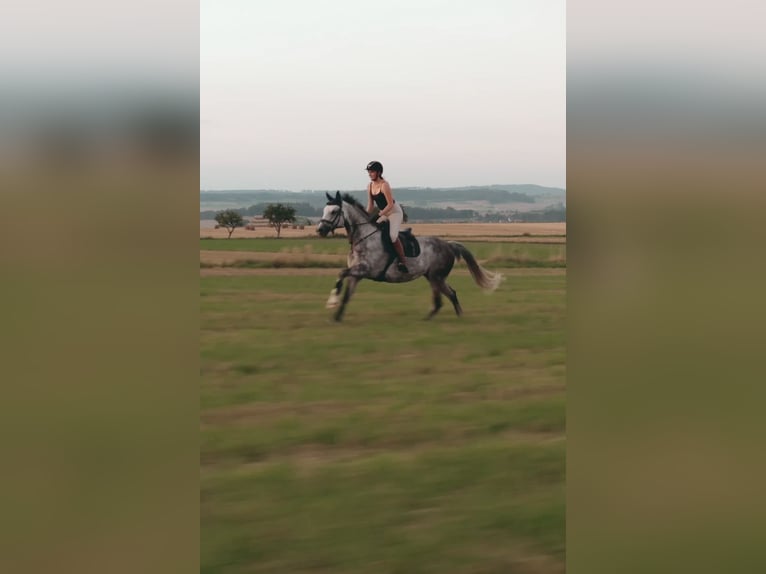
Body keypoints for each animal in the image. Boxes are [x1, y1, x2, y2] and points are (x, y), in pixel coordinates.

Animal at [318, 191, 504, 322]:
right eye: (324, 210)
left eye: (334, 211)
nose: (320, 230)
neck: (363, 238)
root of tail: (448, 245)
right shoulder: (357, 274)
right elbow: (346, 293)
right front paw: (336, 316)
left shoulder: (366, 269)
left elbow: (341, 273)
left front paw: (331, 302)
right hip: (432, 277)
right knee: (448, 295)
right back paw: (449, 316)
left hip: (436, 277)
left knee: (444, 297)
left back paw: (439, 318)